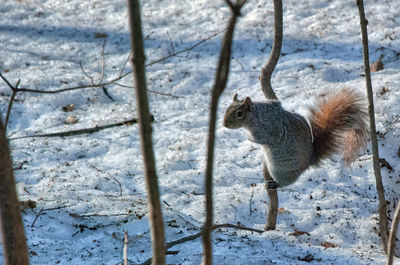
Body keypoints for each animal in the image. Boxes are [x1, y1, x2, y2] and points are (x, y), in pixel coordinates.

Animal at [222, 87, 368, 187]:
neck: (256, 115)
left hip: (280, 170)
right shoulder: (273, 105)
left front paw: (249, 137)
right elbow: (276, 102)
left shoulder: (270, 129)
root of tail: (308, 161)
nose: (224, 124)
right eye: (227, 108)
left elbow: (264, 139)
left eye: (239, 113)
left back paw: (276, 184)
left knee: (287, 182)